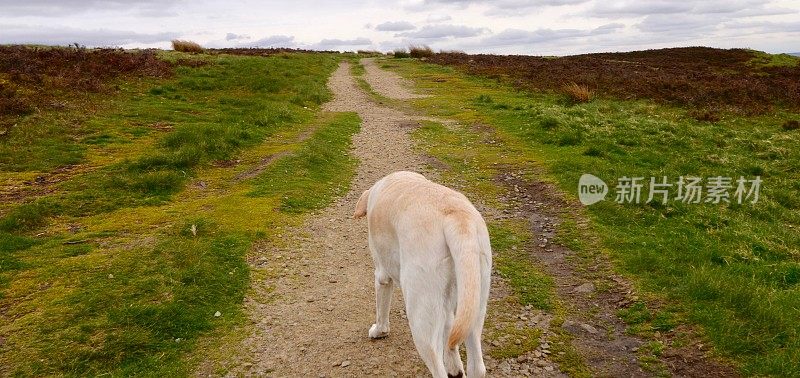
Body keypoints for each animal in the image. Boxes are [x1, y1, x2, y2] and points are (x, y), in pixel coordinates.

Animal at [354, 172, 490, 378]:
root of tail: (456, 216)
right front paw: (455, 367)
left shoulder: (382, 275)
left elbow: (381, 312)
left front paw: (379, 332)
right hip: (475, 306)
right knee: (477, 366)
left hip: (421, 317)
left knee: (438, 367)